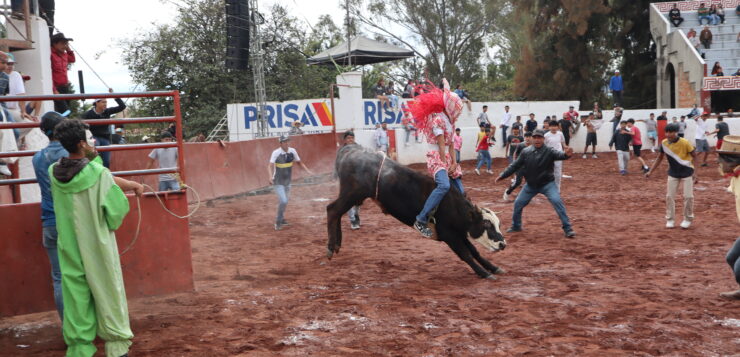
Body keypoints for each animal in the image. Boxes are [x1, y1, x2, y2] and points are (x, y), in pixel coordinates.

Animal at [328, 144, 508, 278]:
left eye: (498, 224)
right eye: (486, 224)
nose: (503, 244)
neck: (454, 206)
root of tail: (350, 150)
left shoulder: (460, 234)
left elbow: (474, 251)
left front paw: (493, 267)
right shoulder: (449, 236)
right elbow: (466, 254)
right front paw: (484, 273)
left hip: (352, 195)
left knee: (337, 213)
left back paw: (337, 245)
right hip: (352, 193)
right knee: (332, 210)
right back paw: (331, 247)